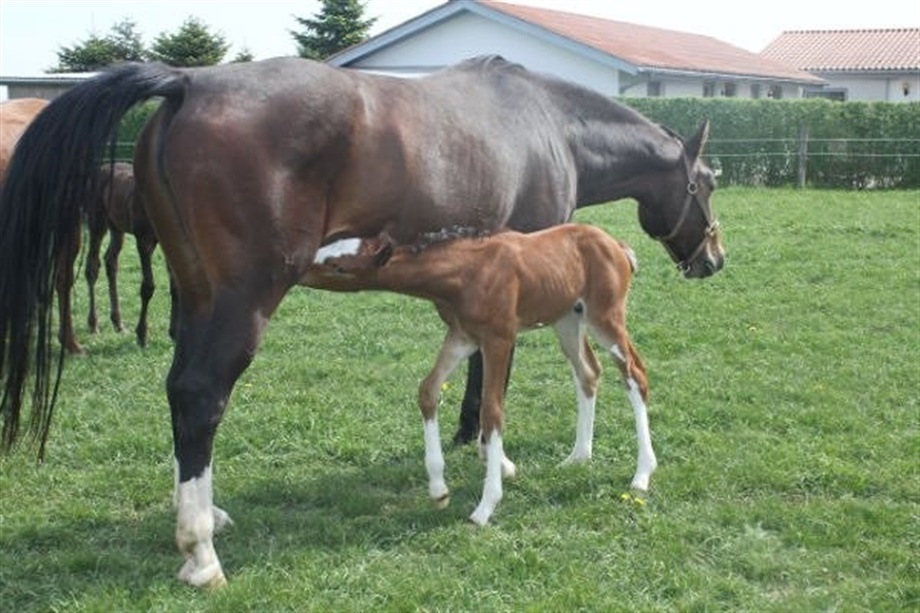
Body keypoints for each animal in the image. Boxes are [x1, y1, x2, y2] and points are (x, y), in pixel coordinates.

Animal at [85, 162, 162, 347]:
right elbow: (147, 287)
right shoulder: (143, 240)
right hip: (97, 223)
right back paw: (93, 324)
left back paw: (118, 322)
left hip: (116, 227)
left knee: (111, 262)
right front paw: (142, 335)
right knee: (92, 267)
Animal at [308, 224, 654, 526]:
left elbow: (492, 412)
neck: (465, 273)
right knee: (588, 373)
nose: (300, 267)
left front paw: (486, 506)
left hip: (605, 317)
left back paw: (642, 474)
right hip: (567, 319)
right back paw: (579, 456)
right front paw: (439, 489)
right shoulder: (462, 337)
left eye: (339, 267)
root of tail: (617, 245)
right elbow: (428, 390)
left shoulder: (498, 339)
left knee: (635, 375)